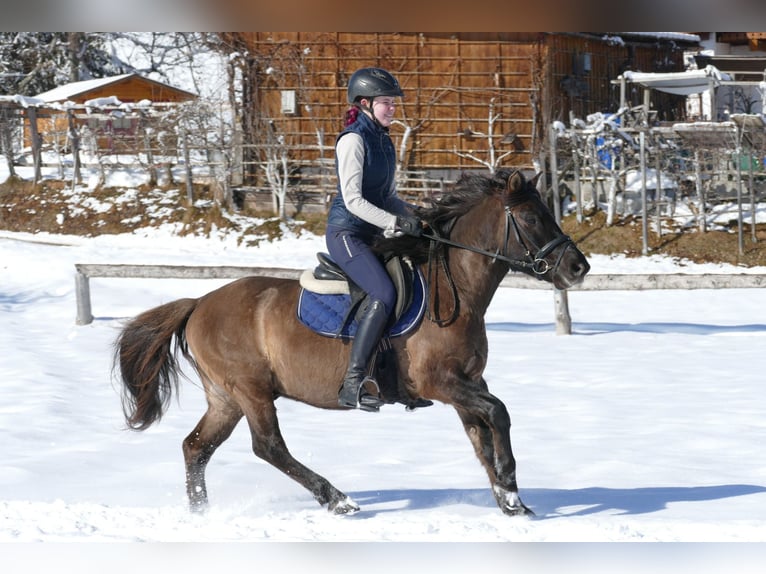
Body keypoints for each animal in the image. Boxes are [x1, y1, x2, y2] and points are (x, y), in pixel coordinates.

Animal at [115, 169, 592, 520]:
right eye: (530, 219)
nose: (578, 267)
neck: (454, 288)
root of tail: (198, 303)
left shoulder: (466, 383)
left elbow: (482, 435)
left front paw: (509, 499)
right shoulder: (440, 383)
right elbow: (498, 414)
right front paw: (510, 486)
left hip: (225, 398)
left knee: (196, 447)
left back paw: (202, 514)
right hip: (250, 391)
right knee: (268, 447)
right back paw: (336, 498)